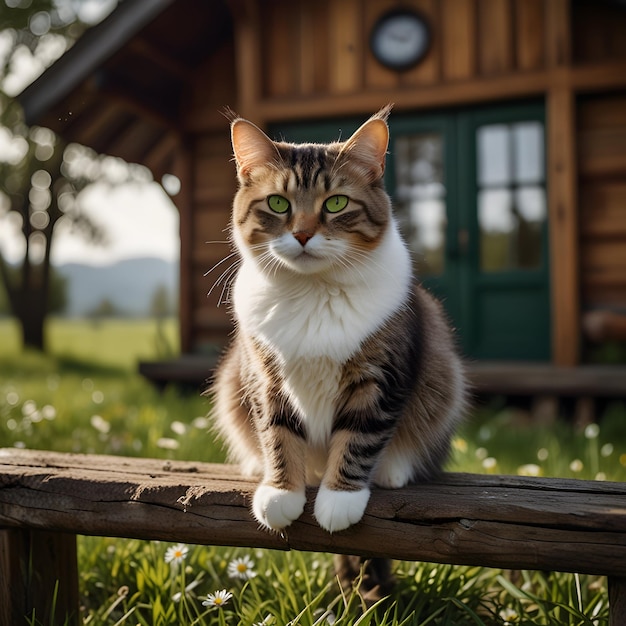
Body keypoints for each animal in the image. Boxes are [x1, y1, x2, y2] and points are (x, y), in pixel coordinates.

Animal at [208, 102, 464, 556]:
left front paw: (338, 499)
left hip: (442, 380)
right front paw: (280, 492)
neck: (314, 291)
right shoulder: (264, 376)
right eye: (278, 203)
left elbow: (359, 436)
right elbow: (277, 434)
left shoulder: (379, 376)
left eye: (337, 202)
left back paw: (392, 469)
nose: (303, 234)